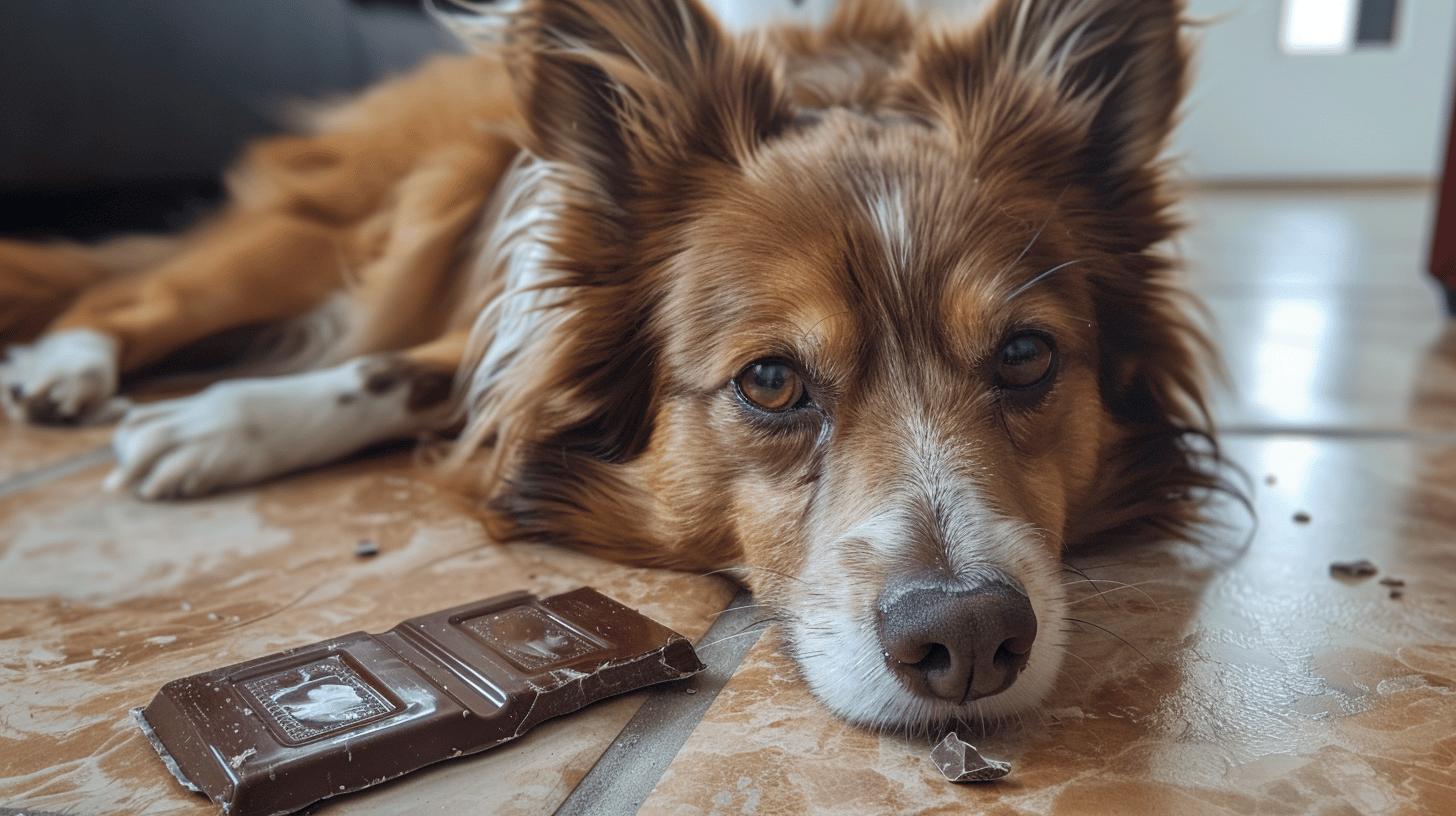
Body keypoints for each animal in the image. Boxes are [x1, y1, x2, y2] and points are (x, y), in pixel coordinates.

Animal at [2, 0, 1228, 725]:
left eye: (1024, 355)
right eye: (770, 381)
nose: (969, 639)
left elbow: (432, 380)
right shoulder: (511, 310)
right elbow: (406, 371)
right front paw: (220, 424)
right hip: (343, 226)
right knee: (138, 288)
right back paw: (70, 366)